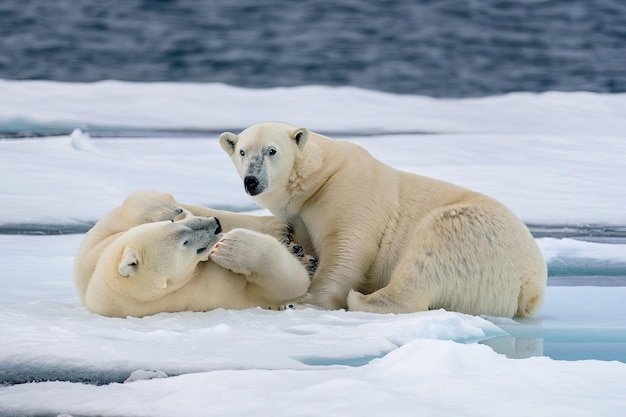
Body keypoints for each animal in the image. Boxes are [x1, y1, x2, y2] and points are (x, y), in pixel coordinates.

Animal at [73, 190, 314, 316]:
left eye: (172, 225)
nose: (216, 226)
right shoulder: (215, 294)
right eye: (185, 242)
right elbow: (290, 282)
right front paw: (232, 247)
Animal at [219, 122, 544, 316]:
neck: (321, 178)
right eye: (242, 151)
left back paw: (363, 300)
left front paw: (304, 301)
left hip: (474, 234)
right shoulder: (300, 214)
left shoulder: (349, 191)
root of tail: (531, 285)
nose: (252, 181)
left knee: (428, 254)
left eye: (271, 151)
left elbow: (347, 248)